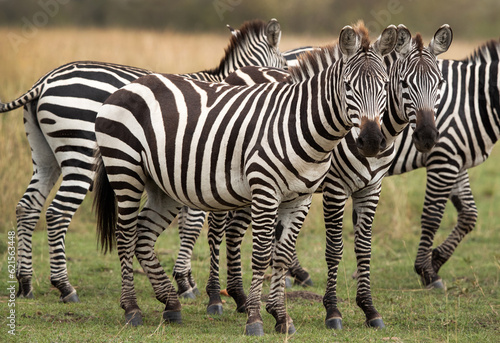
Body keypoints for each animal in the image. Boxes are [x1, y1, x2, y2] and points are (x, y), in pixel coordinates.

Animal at [0, 18, 286, 304]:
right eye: (284, 67)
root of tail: (46, 80)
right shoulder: (200, 166)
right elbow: (193, 225)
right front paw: (186, 283)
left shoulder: (185, 170)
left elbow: (186, 224)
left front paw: (185, 280)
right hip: (79, 154)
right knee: (57, 213)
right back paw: (65, 286)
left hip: (44, 157)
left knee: (27, 207)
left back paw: (25, 282)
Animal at [93, 24, 398, 336]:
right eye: (348, 86)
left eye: (385, 85)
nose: (372, 142)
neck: (301, 125)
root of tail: (131, 85)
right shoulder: (271, 190)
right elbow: (263, 254)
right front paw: (255, 318)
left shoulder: (302, 198)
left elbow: (283, 254)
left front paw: (281, 317)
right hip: (125, 169)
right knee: (126, 235)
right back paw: (132, 308)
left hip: (163, 185)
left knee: (144, 234)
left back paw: (170, 303)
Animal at [195, 24, 454, 330]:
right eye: (403, 83)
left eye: (439, 83)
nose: (427, 137)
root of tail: (237, 72)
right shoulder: (334, 188)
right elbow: (334, 249)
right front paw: (333, 311)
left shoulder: (371, 188)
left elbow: (364, 248)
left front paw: (369, 309)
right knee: (217, 230)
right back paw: (215, 298)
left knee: (234, 232)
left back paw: (240, 298)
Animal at [388, 36, 500, 288]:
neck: (475, 100)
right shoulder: (443, 158)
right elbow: (432, 216)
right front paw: (427, 271)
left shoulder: (457, 160)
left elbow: (469, 215)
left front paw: (436, 259)